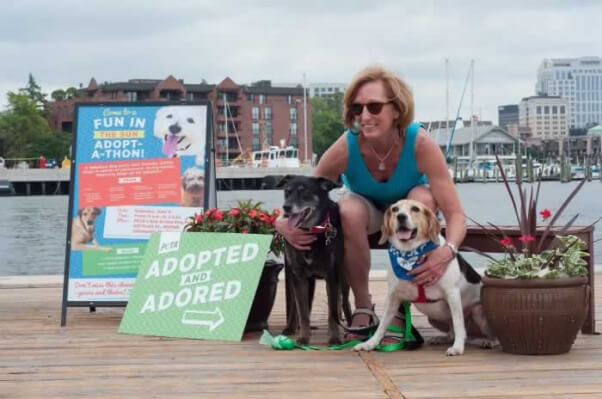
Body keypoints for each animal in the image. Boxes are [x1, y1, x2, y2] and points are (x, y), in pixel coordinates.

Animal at [276, 176, 350, 346]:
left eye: (305, 192)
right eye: (287, 191)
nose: (286, 207)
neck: (313, 231)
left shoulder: (332, 275)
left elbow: (332, 312)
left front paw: (334, 338)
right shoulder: (299, 276)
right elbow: (303, 312)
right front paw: (303, 338)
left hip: (343, 278)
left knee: (344, 303)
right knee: (296, 306)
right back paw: (290, 327)